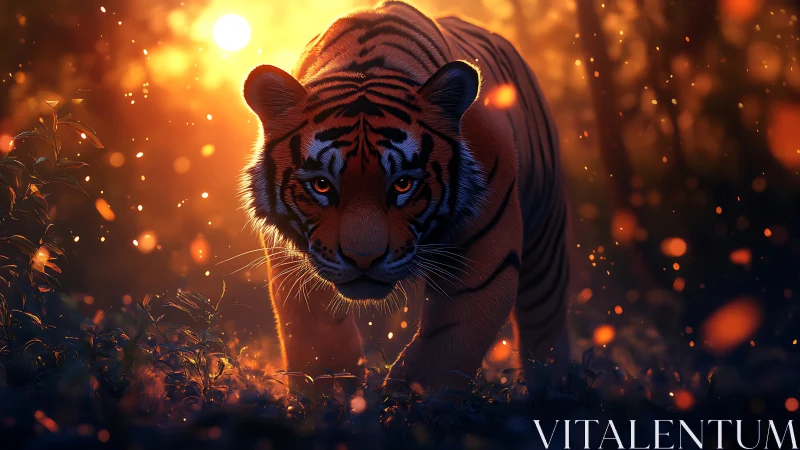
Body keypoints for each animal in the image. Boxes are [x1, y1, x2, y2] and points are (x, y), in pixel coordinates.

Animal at [241, 0, 569, 391]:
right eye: (321, 184)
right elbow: (318, 346)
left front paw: (407, 402)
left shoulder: (485, 255)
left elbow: (442, 353)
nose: (363, 259)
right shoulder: (292, 263)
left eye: (402, 184)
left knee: (545, 325)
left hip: (546, 238)